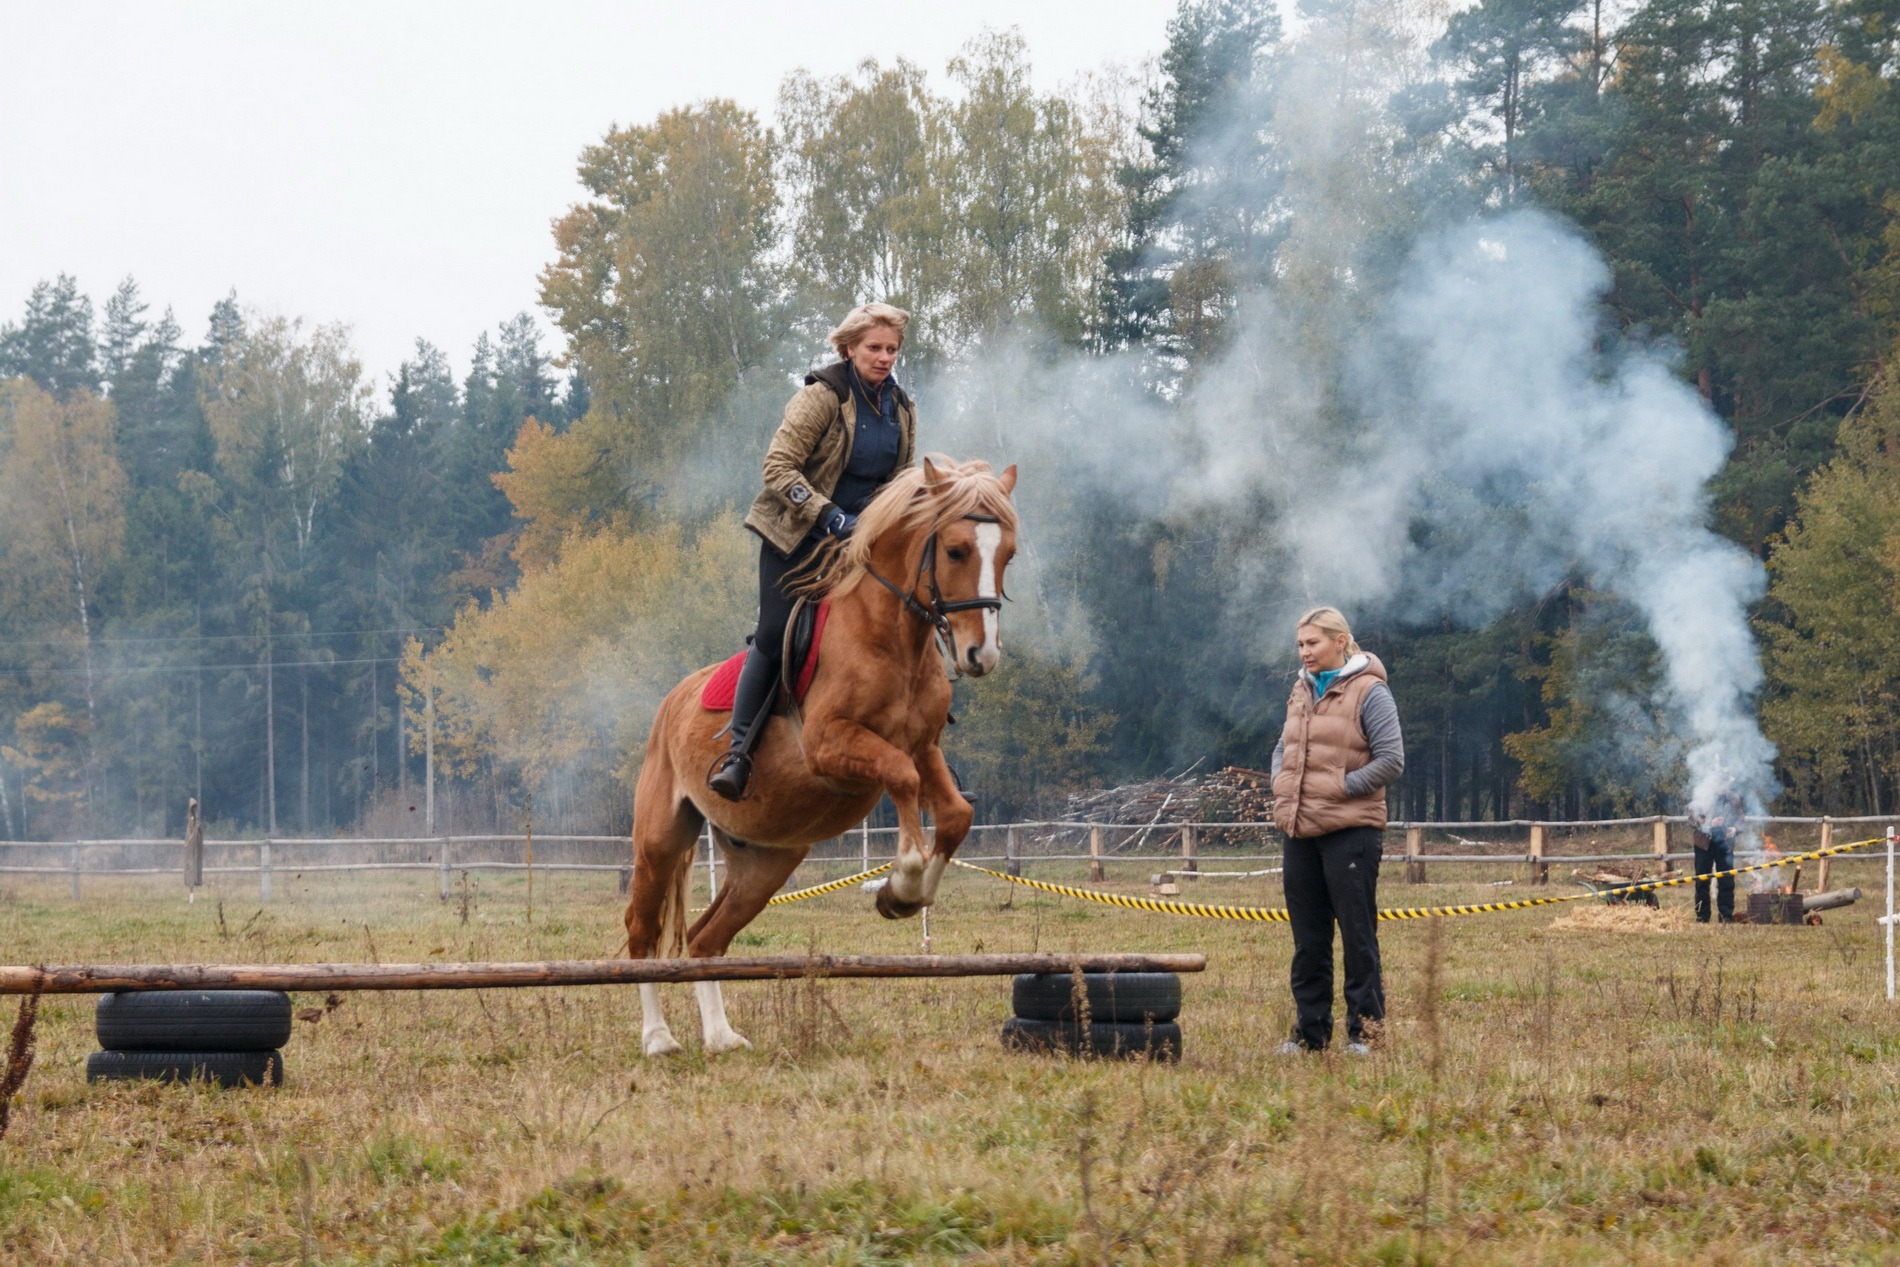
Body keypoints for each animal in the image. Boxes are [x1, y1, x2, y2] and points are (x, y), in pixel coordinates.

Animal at [623, 461, 1018, 1056]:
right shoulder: (831, 746)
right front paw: (904, 881)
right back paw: (658, 1038)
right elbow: (900, 778)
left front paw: (905, 898)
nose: (982, 655)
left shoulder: (924, 747)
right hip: (659, 843)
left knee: (702, 939)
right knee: (642, 934)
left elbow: (955, 814)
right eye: (955, 551)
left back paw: (720, 1036)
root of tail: (671, 701)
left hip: (765, 863)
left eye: (1008, 554)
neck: (890, 638)